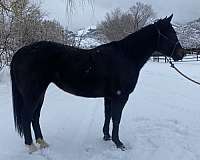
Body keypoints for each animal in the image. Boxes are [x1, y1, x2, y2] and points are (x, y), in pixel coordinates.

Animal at [9, 14, 184, 152]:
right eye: (170, 33)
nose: (182, 54)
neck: (126, 56)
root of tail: (20, 52)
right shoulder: (121, 96)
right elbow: (116, 118)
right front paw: (119, 143)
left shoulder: (109, 96)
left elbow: (108, 115)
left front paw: (106, 136)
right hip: (33, 93)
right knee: (27, 116)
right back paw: (31, 147)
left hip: (40, 93)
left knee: (35, 116)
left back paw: (42, 143)